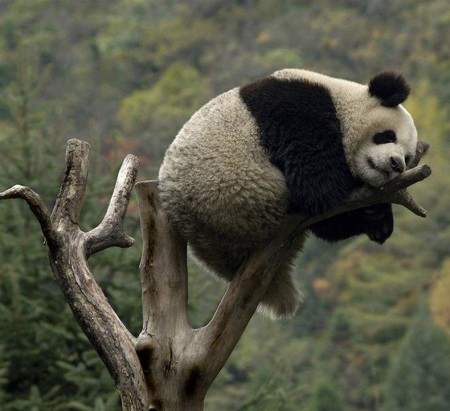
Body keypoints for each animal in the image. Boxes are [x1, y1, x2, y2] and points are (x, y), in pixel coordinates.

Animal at [158, 69, 418, 320]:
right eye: (388, 135)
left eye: (407, 157)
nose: (396, 164)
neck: (341, 104)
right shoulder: (299, 113)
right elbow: (318, 188)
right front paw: (371, 211)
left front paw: (378, 218)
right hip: (237, 196)